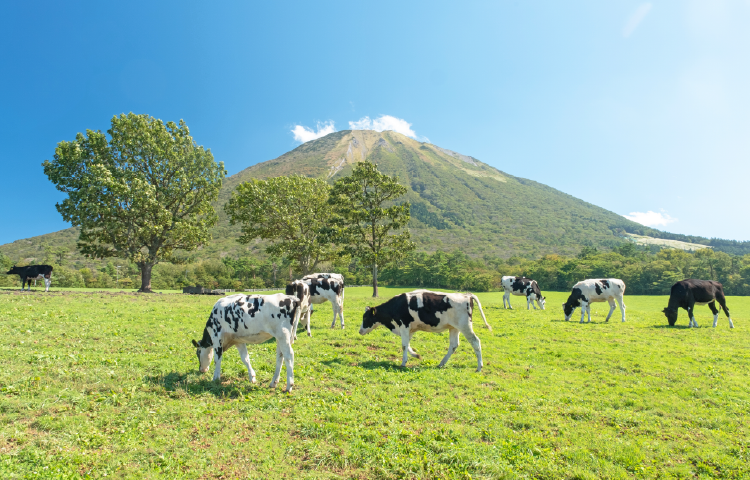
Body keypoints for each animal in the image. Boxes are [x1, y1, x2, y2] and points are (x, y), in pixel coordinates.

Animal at [360, 288, 494, 372]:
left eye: (365, 317)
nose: (360, 331)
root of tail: (466, 295)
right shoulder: (410, 329)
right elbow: (407, 344)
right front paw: (416, 355)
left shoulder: (404, 326)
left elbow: (404, 345)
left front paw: (403, 362)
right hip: (454, 328)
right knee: (453, 345)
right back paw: (441, 363)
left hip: (465, 326)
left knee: (476, 342)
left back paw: (479, 367)